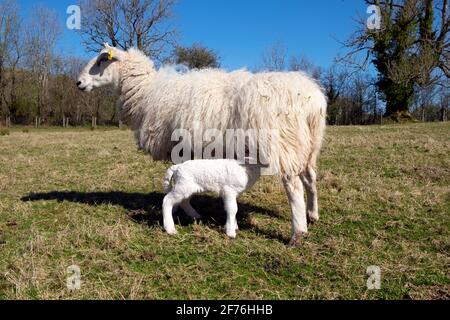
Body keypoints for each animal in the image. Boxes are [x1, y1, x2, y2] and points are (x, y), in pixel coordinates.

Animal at [75, 43, 326, 246]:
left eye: (101, 60)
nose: (78, 82)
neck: (145, 92)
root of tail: (314, 99)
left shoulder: (179, 146)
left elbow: (181, 182)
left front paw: (189, 211)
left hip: (284, 144)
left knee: (294, 187)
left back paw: (298, 233)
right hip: (308, 145)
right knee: (311, 178)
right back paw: (313, 215)